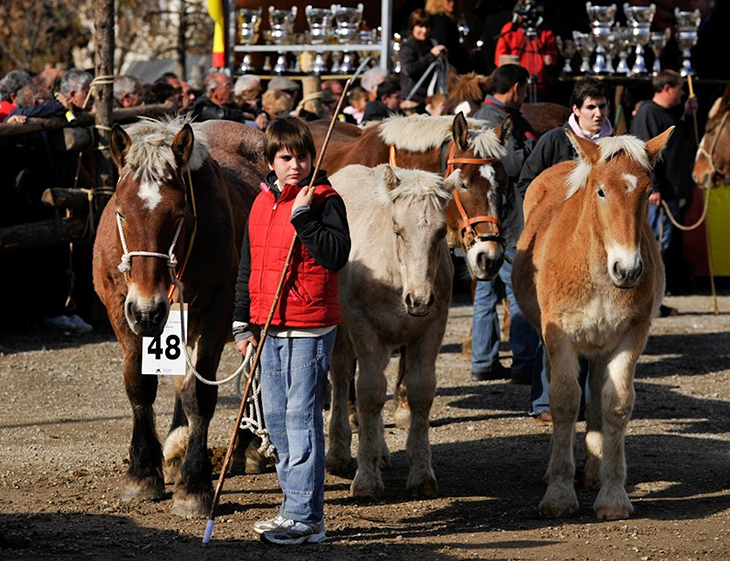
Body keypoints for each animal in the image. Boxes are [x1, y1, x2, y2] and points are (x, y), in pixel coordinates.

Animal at [92, 117, 264, 516]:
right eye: (121, 211)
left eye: (178, 214)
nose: (148, 307)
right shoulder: (121, 309)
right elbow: (141, 385)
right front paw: (143, 473)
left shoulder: (216, 310)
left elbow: (198, 394)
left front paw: (194, 485)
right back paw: (175, 450)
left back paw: (246, 448)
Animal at [328, 164, 452, 496]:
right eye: (398, 229)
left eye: (441, 232)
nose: (419, 299)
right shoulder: (363, 328)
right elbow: (369, 393)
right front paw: (366, 478)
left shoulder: (431, 329)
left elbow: (420, 391)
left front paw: (421, 474)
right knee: (341, 376)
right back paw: (338, 453)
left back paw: (381, 454)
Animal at [512, 128, 672, 520]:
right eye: (600, 190)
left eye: (647, 190)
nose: (627, 269)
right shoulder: (559, 336)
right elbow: (565, 401)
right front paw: (559, 491)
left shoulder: (630, 336)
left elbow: (615, 404)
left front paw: (613, 494)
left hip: (602, 345)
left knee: (599, 394)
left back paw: (595, 469)